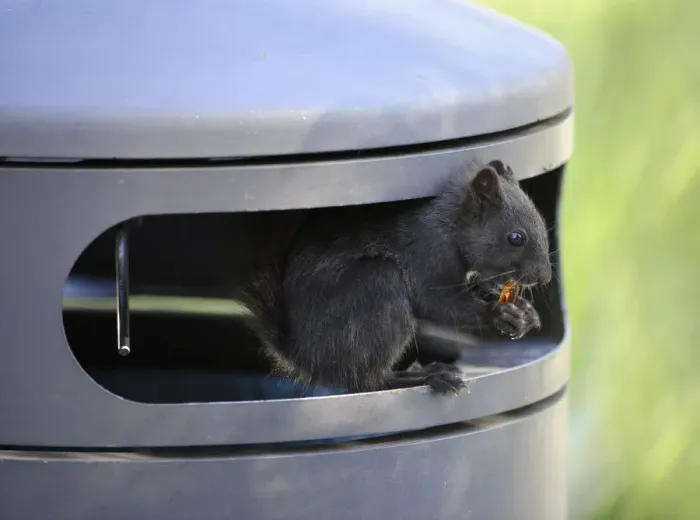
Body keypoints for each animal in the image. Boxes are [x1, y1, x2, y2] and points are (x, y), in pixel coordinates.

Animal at [242, 160, 552, 395]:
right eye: (515, 238)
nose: (545, 277)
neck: (451, 226)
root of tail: (306, 357)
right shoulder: (427, 252)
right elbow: (436, 302)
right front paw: (498, 313)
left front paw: (525, 312)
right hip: (376, 287)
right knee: (365, 381)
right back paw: (427, 376)